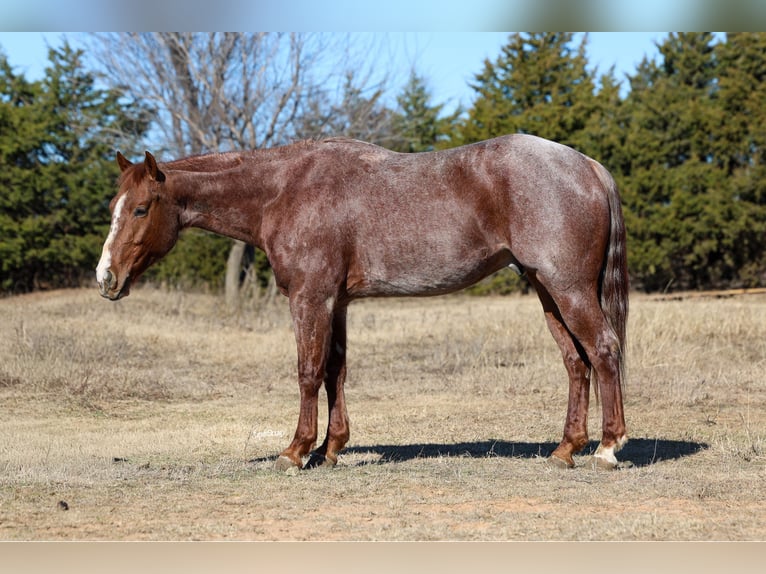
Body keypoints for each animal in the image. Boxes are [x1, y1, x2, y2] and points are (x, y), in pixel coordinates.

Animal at [96, 134, 629, 471]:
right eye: (113, 208)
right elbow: (336, 370)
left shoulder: (310, 298)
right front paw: (330, 450)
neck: (284, 190)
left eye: (141, 209)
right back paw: (565, 450)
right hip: (546, 290)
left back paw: (607, 448)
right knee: (575, 362)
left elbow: (308, 372)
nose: (106, 278)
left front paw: (295, 452)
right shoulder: (337, 302)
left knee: (603, 350)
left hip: (568, 287)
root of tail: (588, 166)